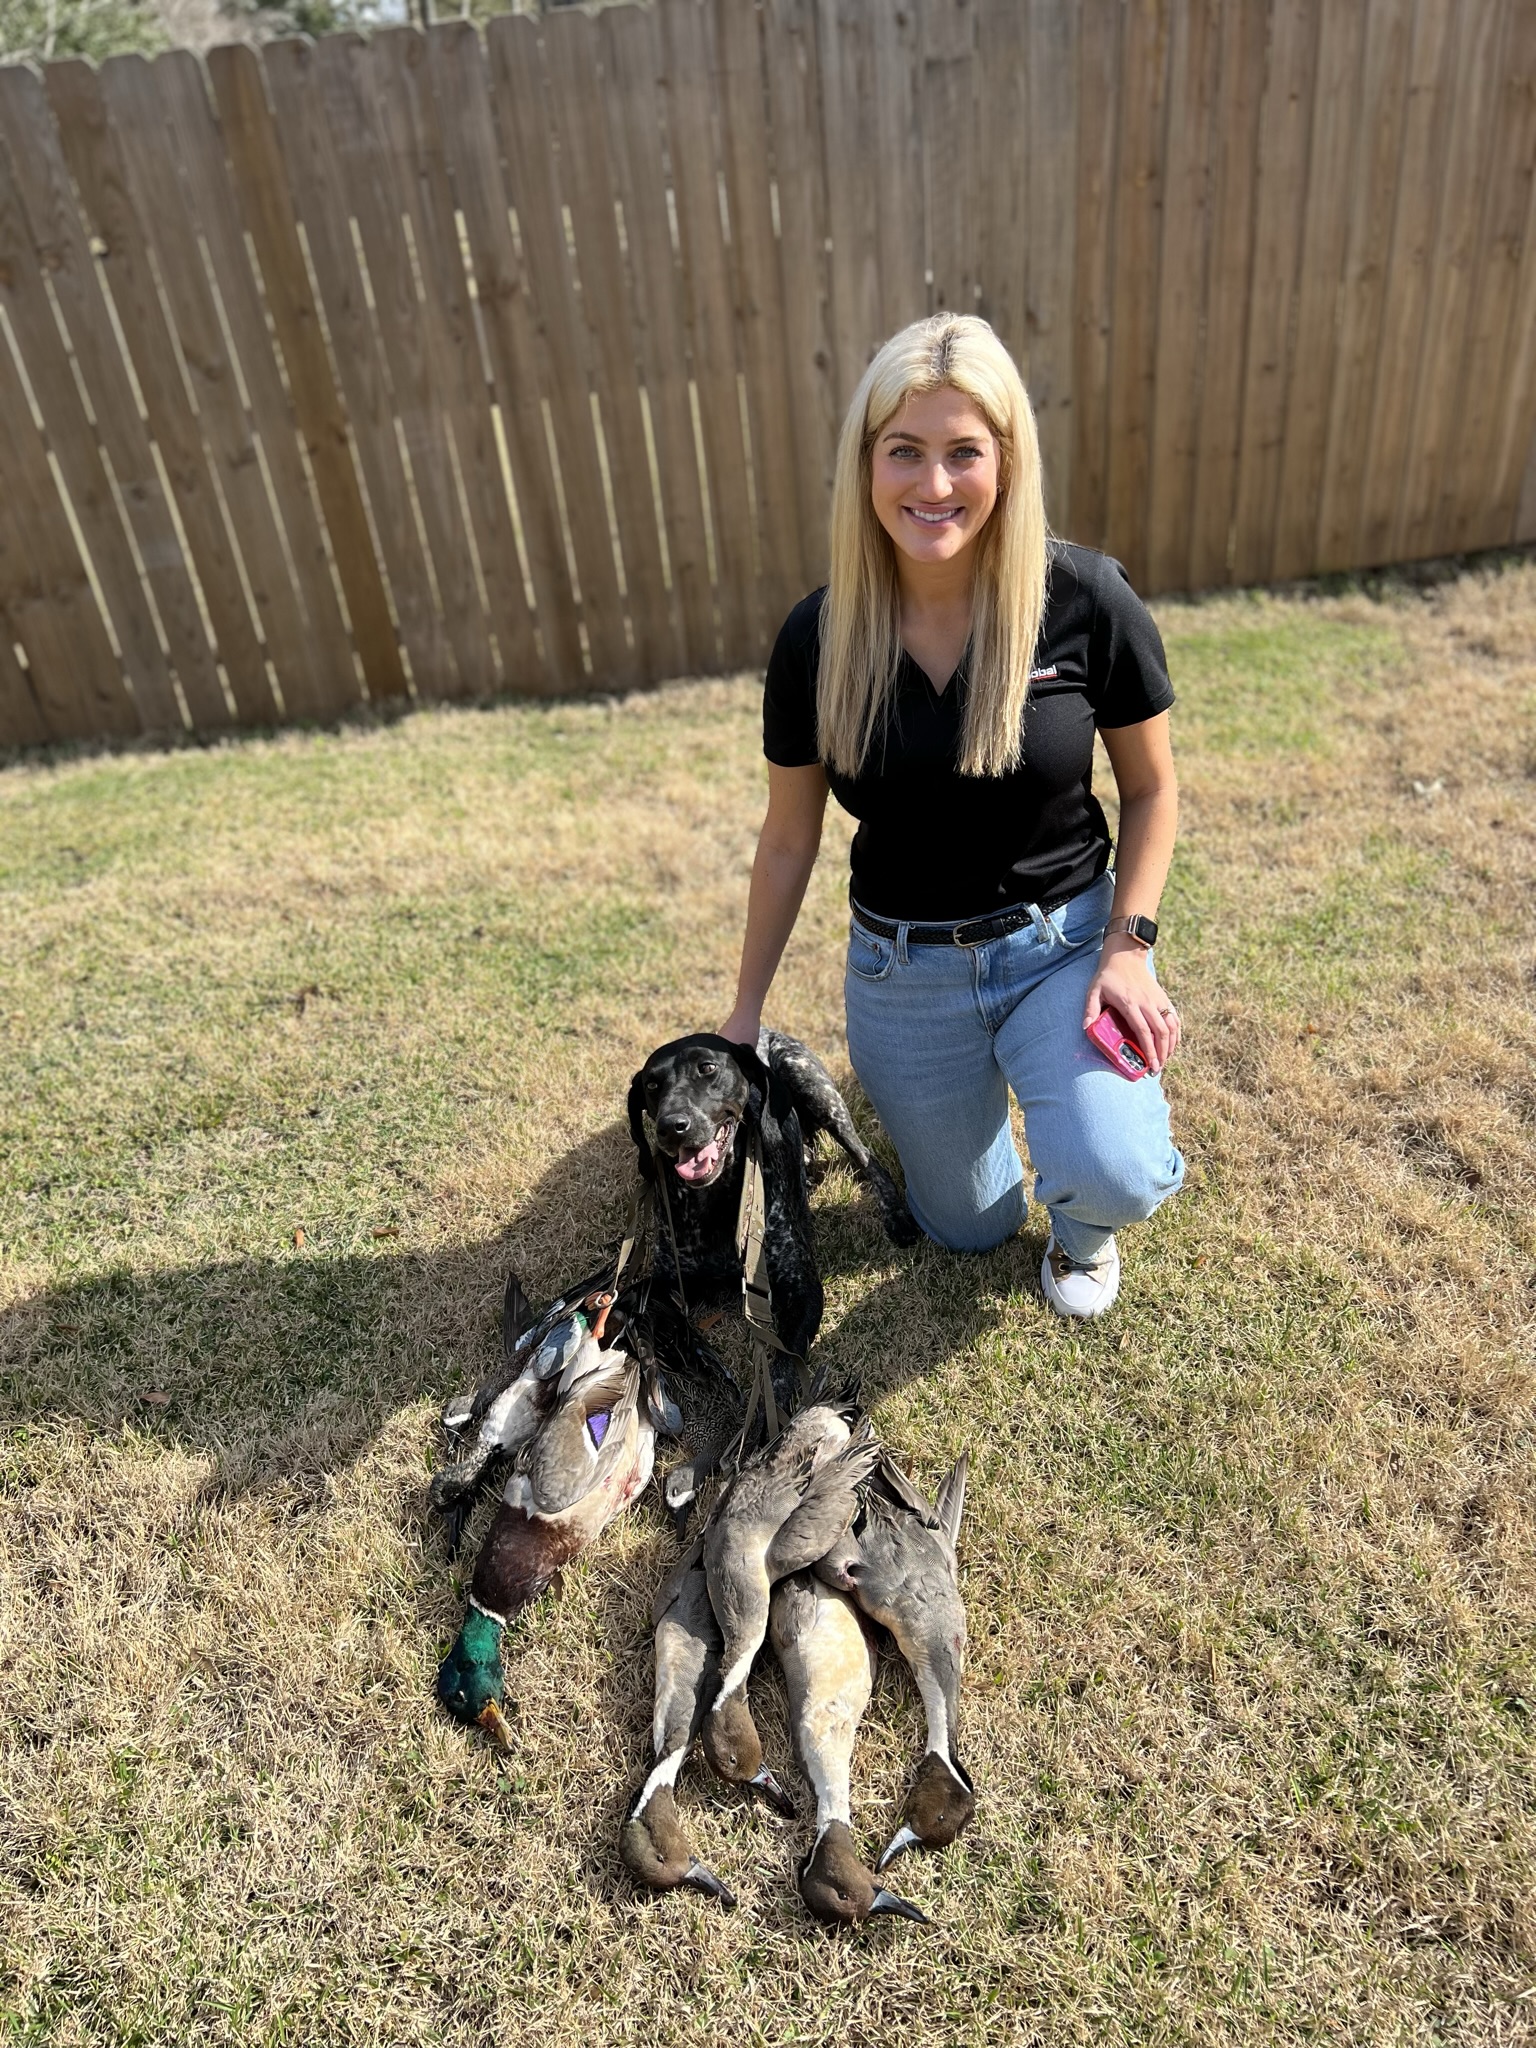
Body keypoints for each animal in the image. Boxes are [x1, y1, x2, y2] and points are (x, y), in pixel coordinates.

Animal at [627, 1030, 919, 1369]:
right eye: (651, 1085)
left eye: (707, 1067)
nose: (672, 1127)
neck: (714, 1198)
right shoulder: (664, 1284)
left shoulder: (800, 1289)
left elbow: (785, 1363)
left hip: (819, 1095)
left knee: (867, 1158)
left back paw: (896, 1216)